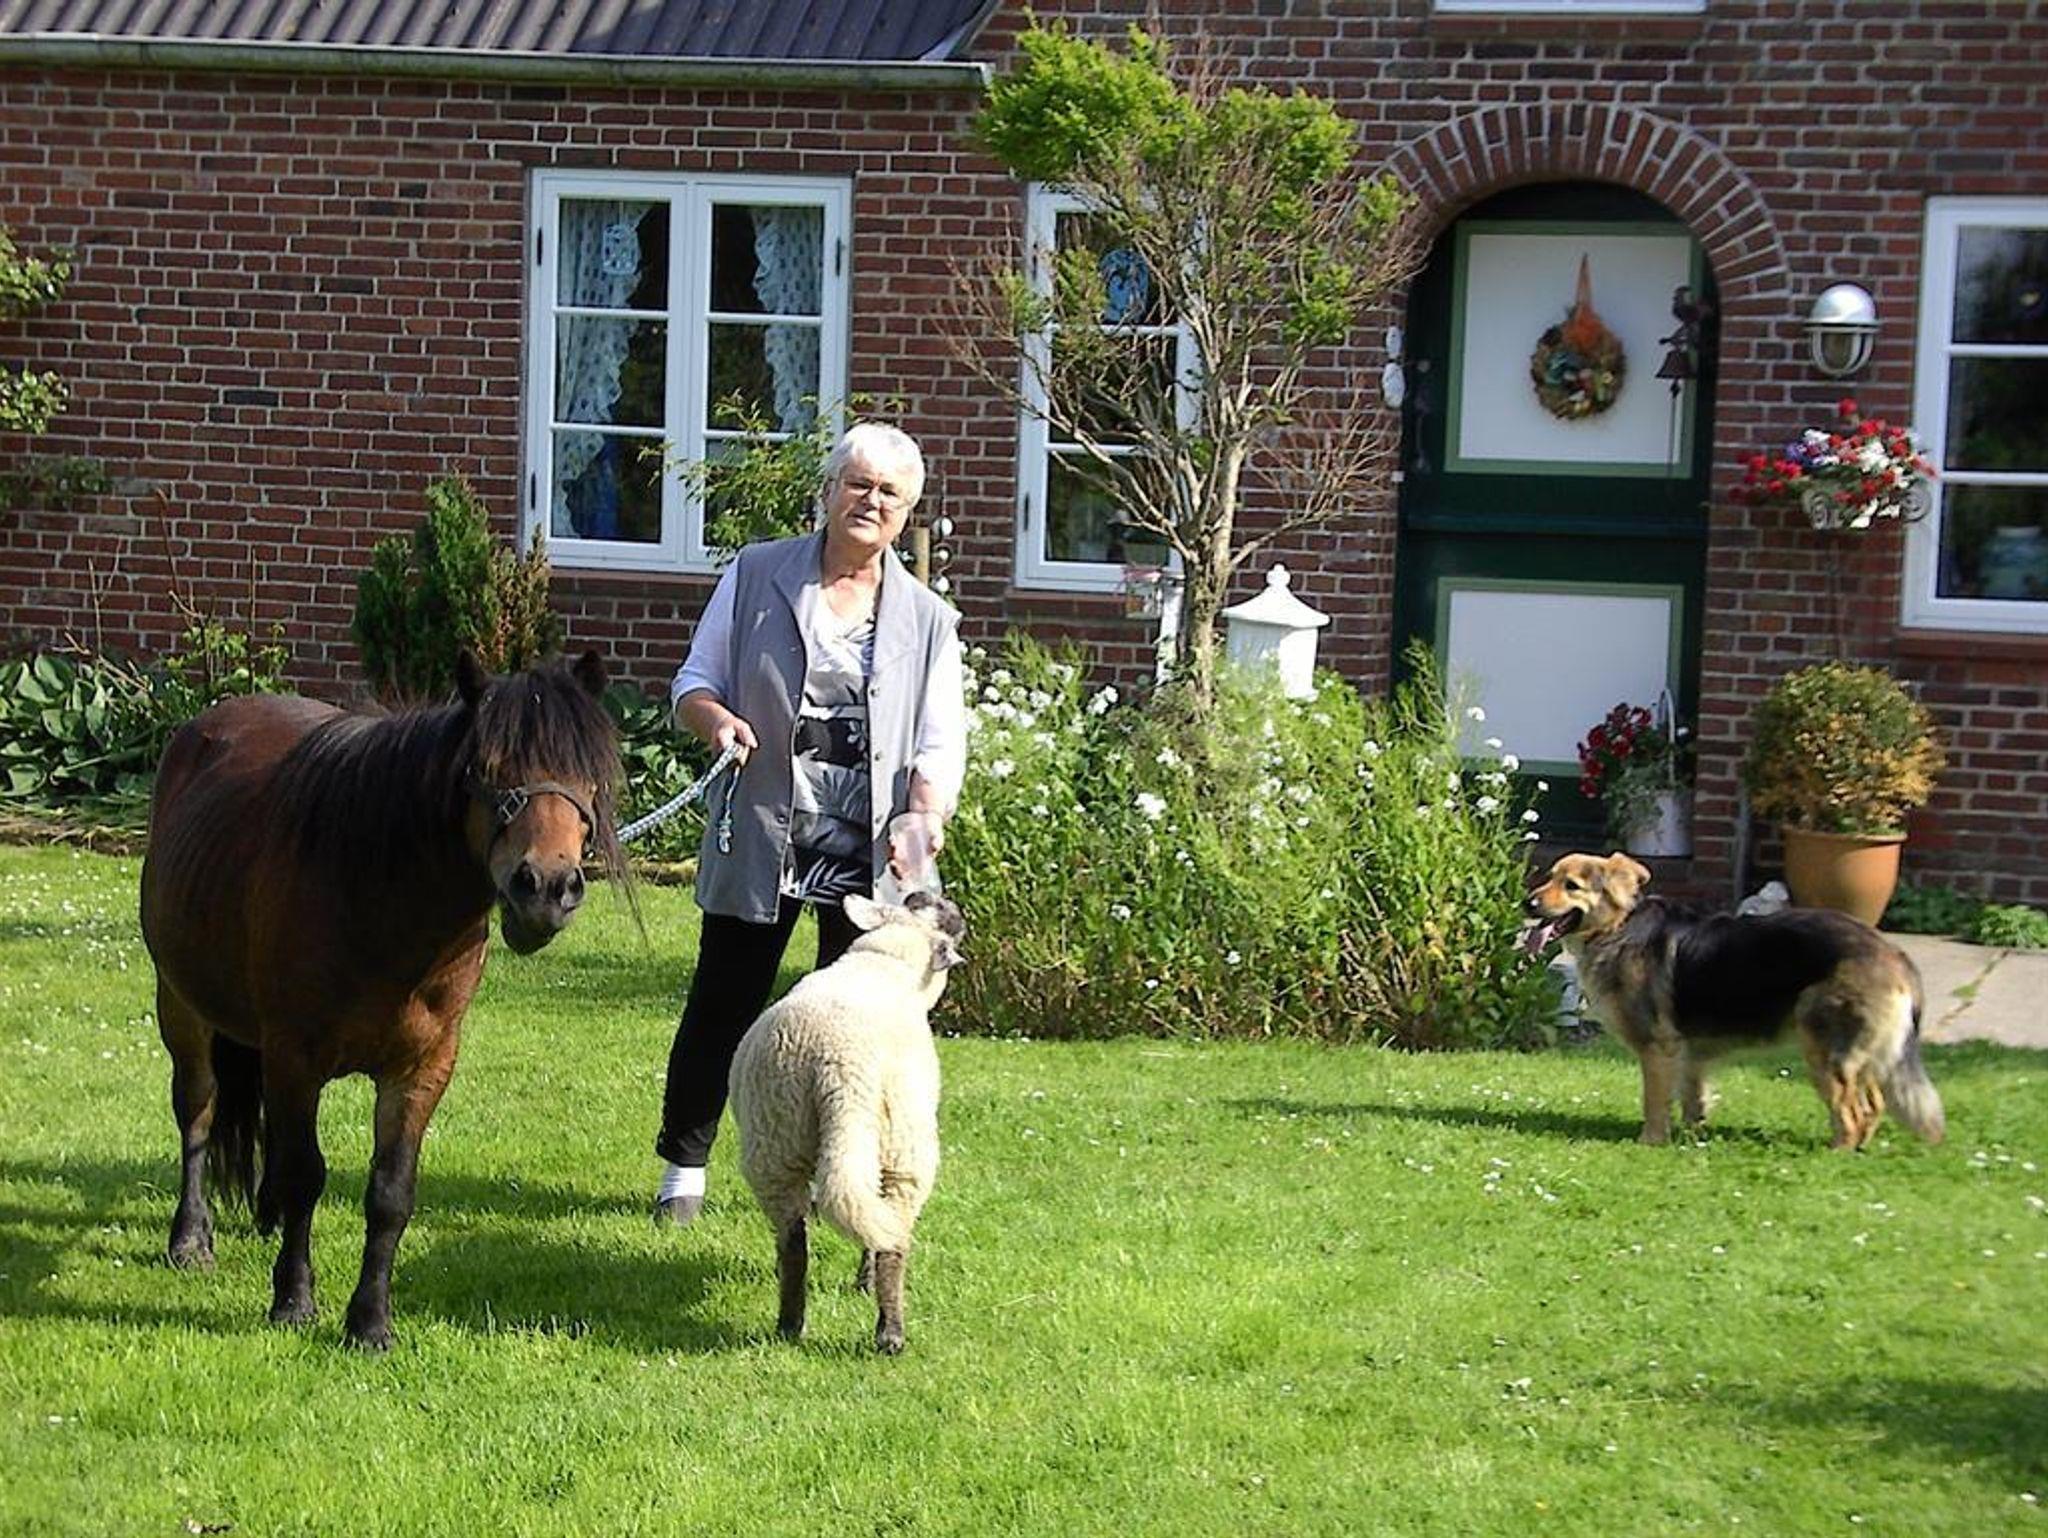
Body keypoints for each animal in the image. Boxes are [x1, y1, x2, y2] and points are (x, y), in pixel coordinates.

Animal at [139, 649, 626, 1350]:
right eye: (485, 769)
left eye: (588, 774)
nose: (549, 887)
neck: (378, 896)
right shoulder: (296, 1058)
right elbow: (306, 1174)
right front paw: (294, 1300)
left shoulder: (421, 1069)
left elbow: (390, 1193)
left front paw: (369, 1321)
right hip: (182, 1007)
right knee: (197, 1113)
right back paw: (191, 1238)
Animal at [1524, 852, 1945, 1149]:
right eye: (1548, 878)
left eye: (1572, 885)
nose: (1528, 903)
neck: (1618, 926)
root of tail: (1894, 955)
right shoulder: (1690, 1052)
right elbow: (1693, 1097)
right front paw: (1692, 1136)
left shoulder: (1657, 1049)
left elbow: (1654, 1101)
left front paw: (1651, 1141)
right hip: (1863, 1055)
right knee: (1873, 1104)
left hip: (1825, 1053)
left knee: (1852, 1111)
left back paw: (1837, 1152)